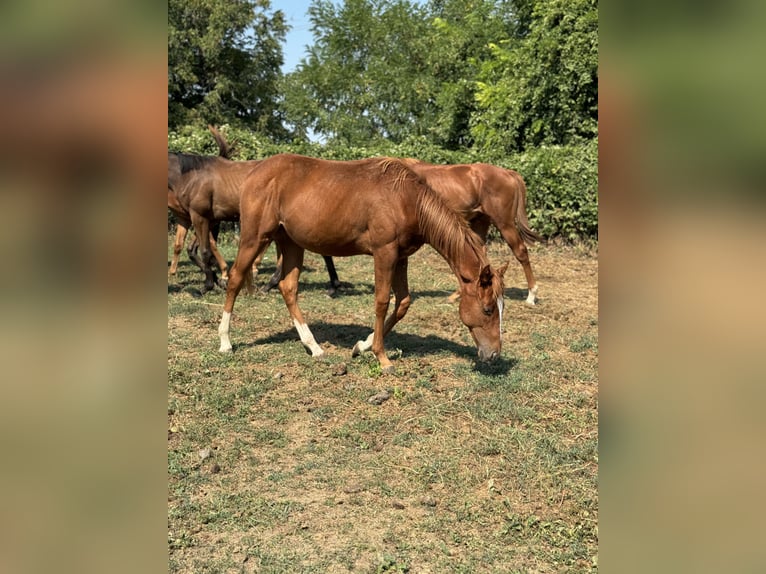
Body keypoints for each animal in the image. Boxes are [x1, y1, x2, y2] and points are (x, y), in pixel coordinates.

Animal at [218, 154, 510, 374]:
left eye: (501, 308)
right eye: (487, 310)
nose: (494, 355)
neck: (406, 199)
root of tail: (255, 172)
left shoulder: (401, 257)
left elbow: (403, 303)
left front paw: (362, 346)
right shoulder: (385, 253)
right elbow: (382, 301)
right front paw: (382, 357)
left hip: (289, 242)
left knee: (288, 288)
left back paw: (314, 347)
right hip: (255, 236)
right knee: (235, 279)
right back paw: (225, 342)